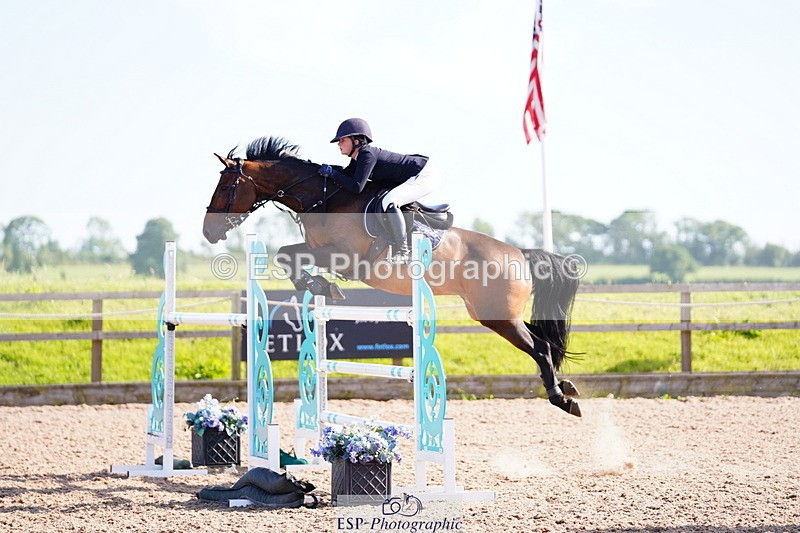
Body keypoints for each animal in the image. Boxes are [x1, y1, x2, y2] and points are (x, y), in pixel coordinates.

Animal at [203, 136, 583, 417]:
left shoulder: (344, 256)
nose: (208, 232)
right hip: (493, 314)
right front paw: (320, 286)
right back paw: (566, 387)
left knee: (540, 347)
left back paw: (562, 399)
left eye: (225, 187)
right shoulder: (318, 250)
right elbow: (287, 254)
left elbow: (287, 254)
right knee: (544, 342)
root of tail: (519, 254)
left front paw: (321, 285)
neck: (323, 198)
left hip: (498, 316)